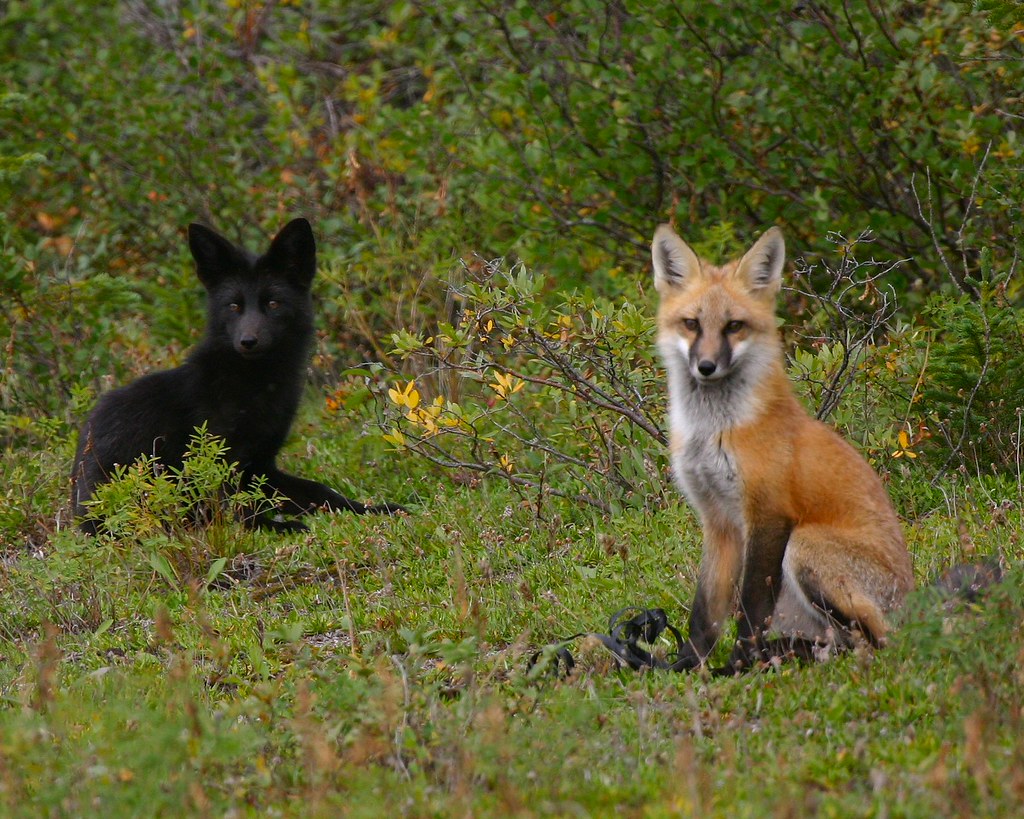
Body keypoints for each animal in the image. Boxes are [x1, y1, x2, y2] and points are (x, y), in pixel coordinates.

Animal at [71, 217, 404, 534]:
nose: (248, 341)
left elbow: (323, 493)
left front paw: (377, 509)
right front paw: (277, 526)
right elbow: (237, 513)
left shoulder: (261, 466)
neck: (255, 385)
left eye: (273, 303)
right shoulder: (219, 461)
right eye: (233, 306)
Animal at [651, 224, 914, 672]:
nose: (706, 367)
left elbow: (751, 606)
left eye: (734, 326)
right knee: (839, 643)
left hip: (804, 546)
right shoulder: (718, 520)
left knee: (874, 642)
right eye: (691, 324)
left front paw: (738, 667)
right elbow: (705, 613)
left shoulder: (769, 514)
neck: (714, 431)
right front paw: (688, 667)